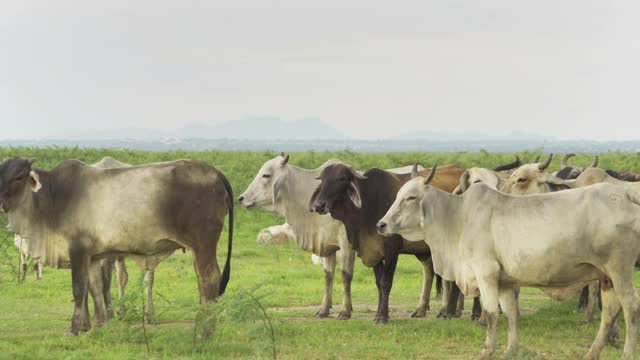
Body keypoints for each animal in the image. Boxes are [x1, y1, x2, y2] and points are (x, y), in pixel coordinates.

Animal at [0, 158, 234, 334]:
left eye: (19, 177)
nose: (1, 203)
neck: (54, 197)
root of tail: (214, 171)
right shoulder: (93, 256)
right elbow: (94, 288)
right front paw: (98, 325)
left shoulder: (78, 250)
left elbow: (79, 289)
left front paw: (75, 328)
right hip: (197, 249)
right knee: (201, 281)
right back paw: (201, 322)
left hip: (204, 243)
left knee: (210, 278)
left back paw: (205, 330)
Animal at [308, 162, 462, 322]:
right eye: (322, 179)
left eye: (341, 178)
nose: (319, 205)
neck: (368, 204)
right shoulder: (373, 251)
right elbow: (378, 283)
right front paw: (379, 313)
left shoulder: (392, 250)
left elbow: (385, 282)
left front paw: (382, 316)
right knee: (430, 272)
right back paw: (423, 309)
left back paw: (449, 311)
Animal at [380, 167, 640, 360]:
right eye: (397, 195)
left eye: (411, 197)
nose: (381, 224)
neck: (458, 218)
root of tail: (624, 195)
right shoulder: (505, 282)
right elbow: (511, 314)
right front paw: (511, 349)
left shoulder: (486, 272)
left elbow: (491, 313)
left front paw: (487, 350)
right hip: (606, 277)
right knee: (609, 313)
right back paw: (592, 353)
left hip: (620, 270)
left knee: (630, 308)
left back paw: (627, 353)